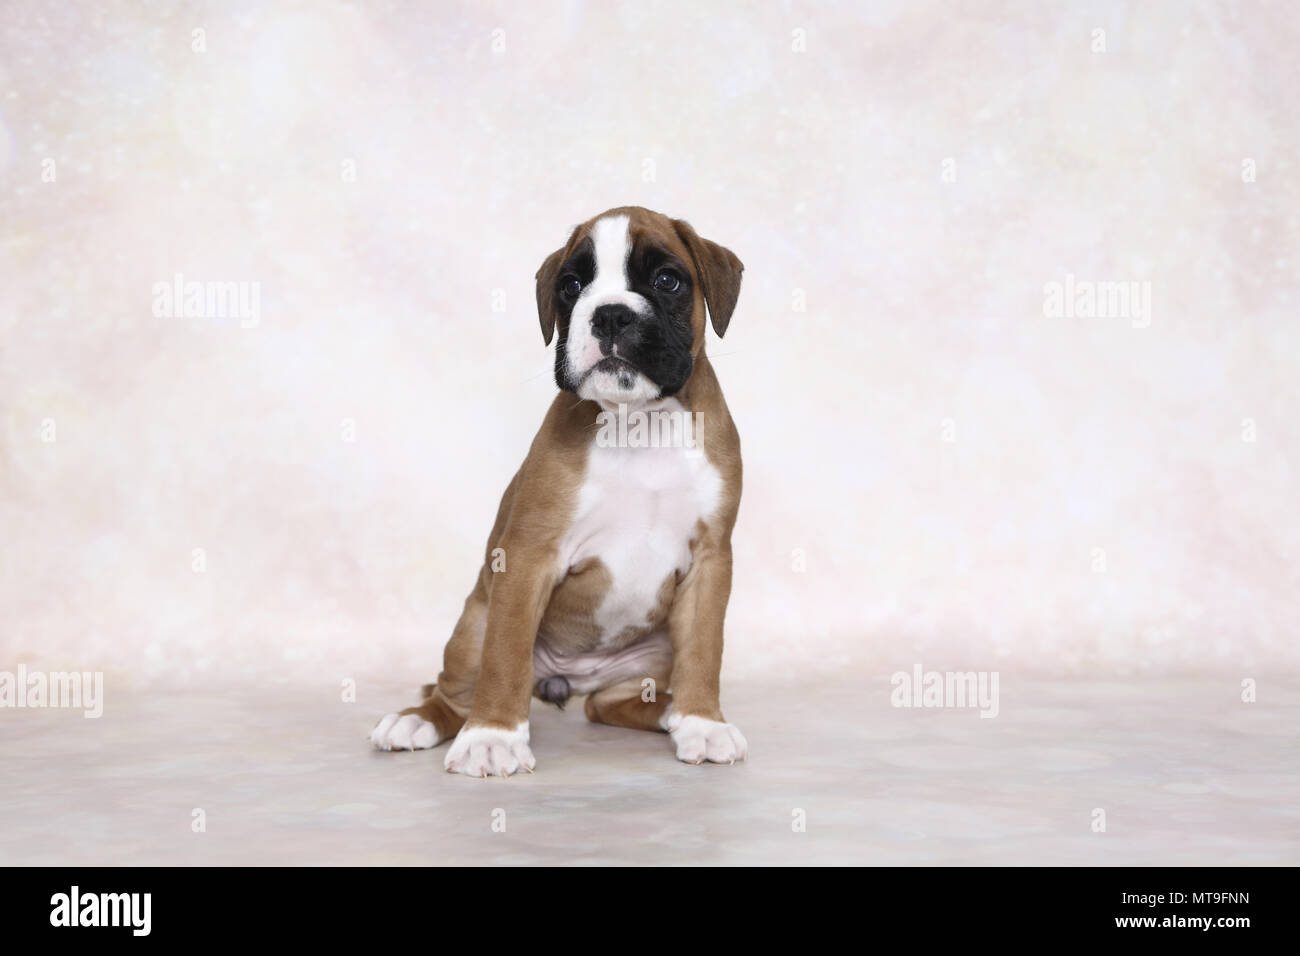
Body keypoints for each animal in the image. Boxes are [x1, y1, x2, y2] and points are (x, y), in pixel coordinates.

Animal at [371, 205, 748, 775]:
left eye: (667, 280)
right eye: (571, 286)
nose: (610, 315)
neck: (638, 425)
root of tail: (571, 679)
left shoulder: (710, 562)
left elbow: (705, 650)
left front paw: (702, 723)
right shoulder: (529, 556)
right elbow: (505, 659)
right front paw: (493, 736)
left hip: (649, 658)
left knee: (606, 705)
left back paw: (669, 713)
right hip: (472, 627)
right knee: (453, 693)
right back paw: (419, 720)